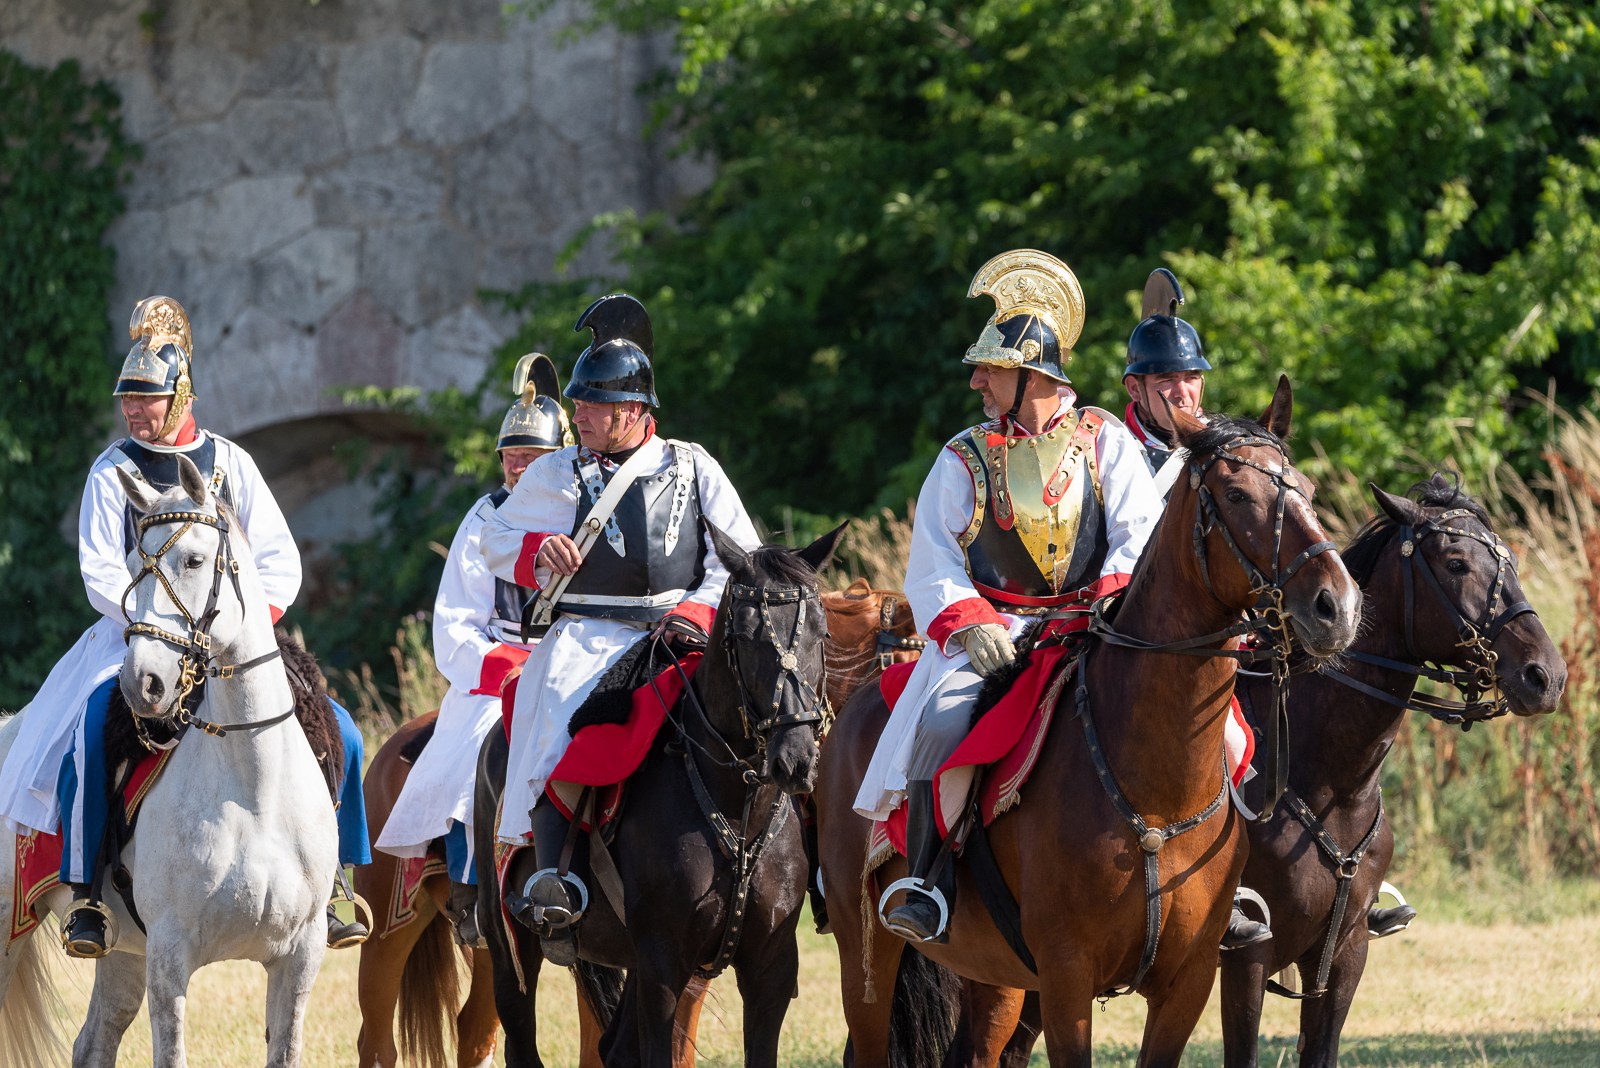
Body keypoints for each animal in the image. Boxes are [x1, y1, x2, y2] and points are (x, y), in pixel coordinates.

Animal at [478, 521, 845, 1068]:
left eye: (821, 632)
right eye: (746, 636)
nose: (795, 759)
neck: (738, 812)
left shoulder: (770, 970)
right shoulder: (662, 967)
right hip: (509, 944)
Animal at [815, 378, 1363, 1068]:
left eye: (1308, 490)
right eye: (1237, 494)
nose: (1337, 607)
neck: (1155, 793)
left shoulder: (1187, 984)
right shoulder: (1067, 977)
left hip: (992, 975)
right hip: (867, 955)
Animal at [1216, 475, 1566, 1067]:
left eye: (1513, 561)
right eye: (1455, 563)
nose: (1547, 676)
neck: (1329, 785)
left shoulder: (1345, 953)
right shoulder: (1247, 958)